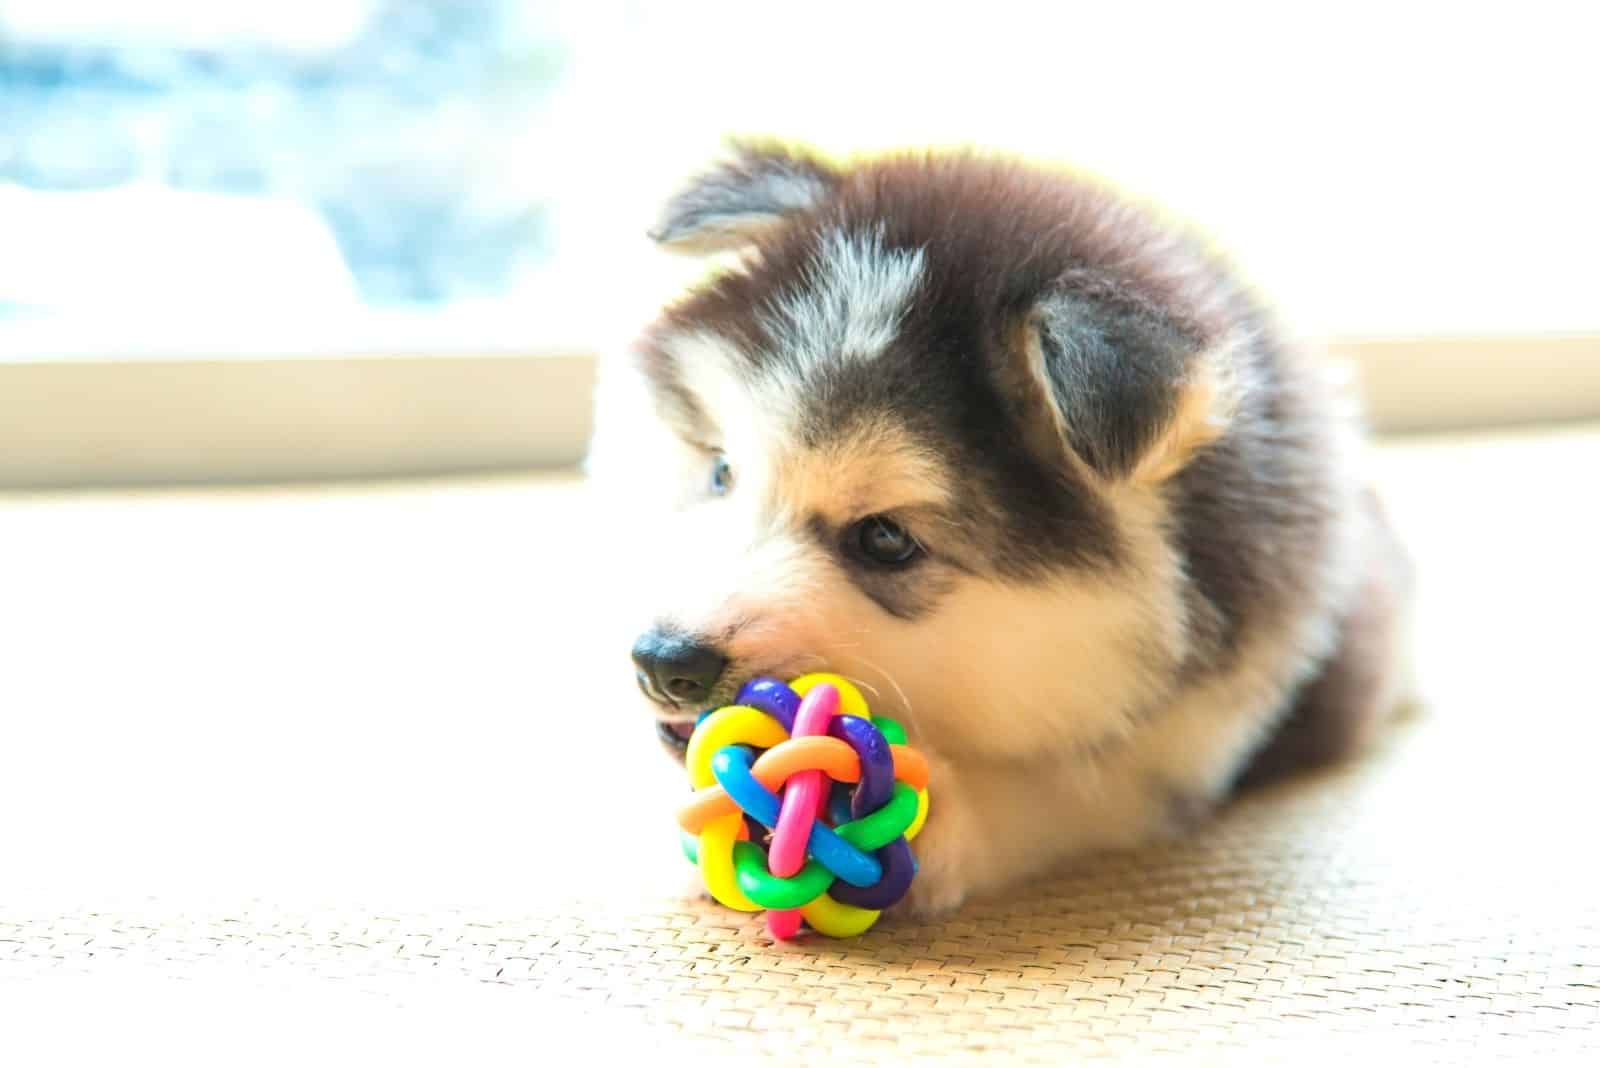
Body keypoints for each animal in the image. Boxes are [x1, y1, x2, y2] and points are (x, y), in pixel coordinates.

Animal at [585, 137, 1414, 914]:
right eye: (723, 472)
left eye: (885, 539)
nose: (665, 661)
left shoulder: (1183, 738)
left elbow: (1065, 794)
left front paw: (941, 823)